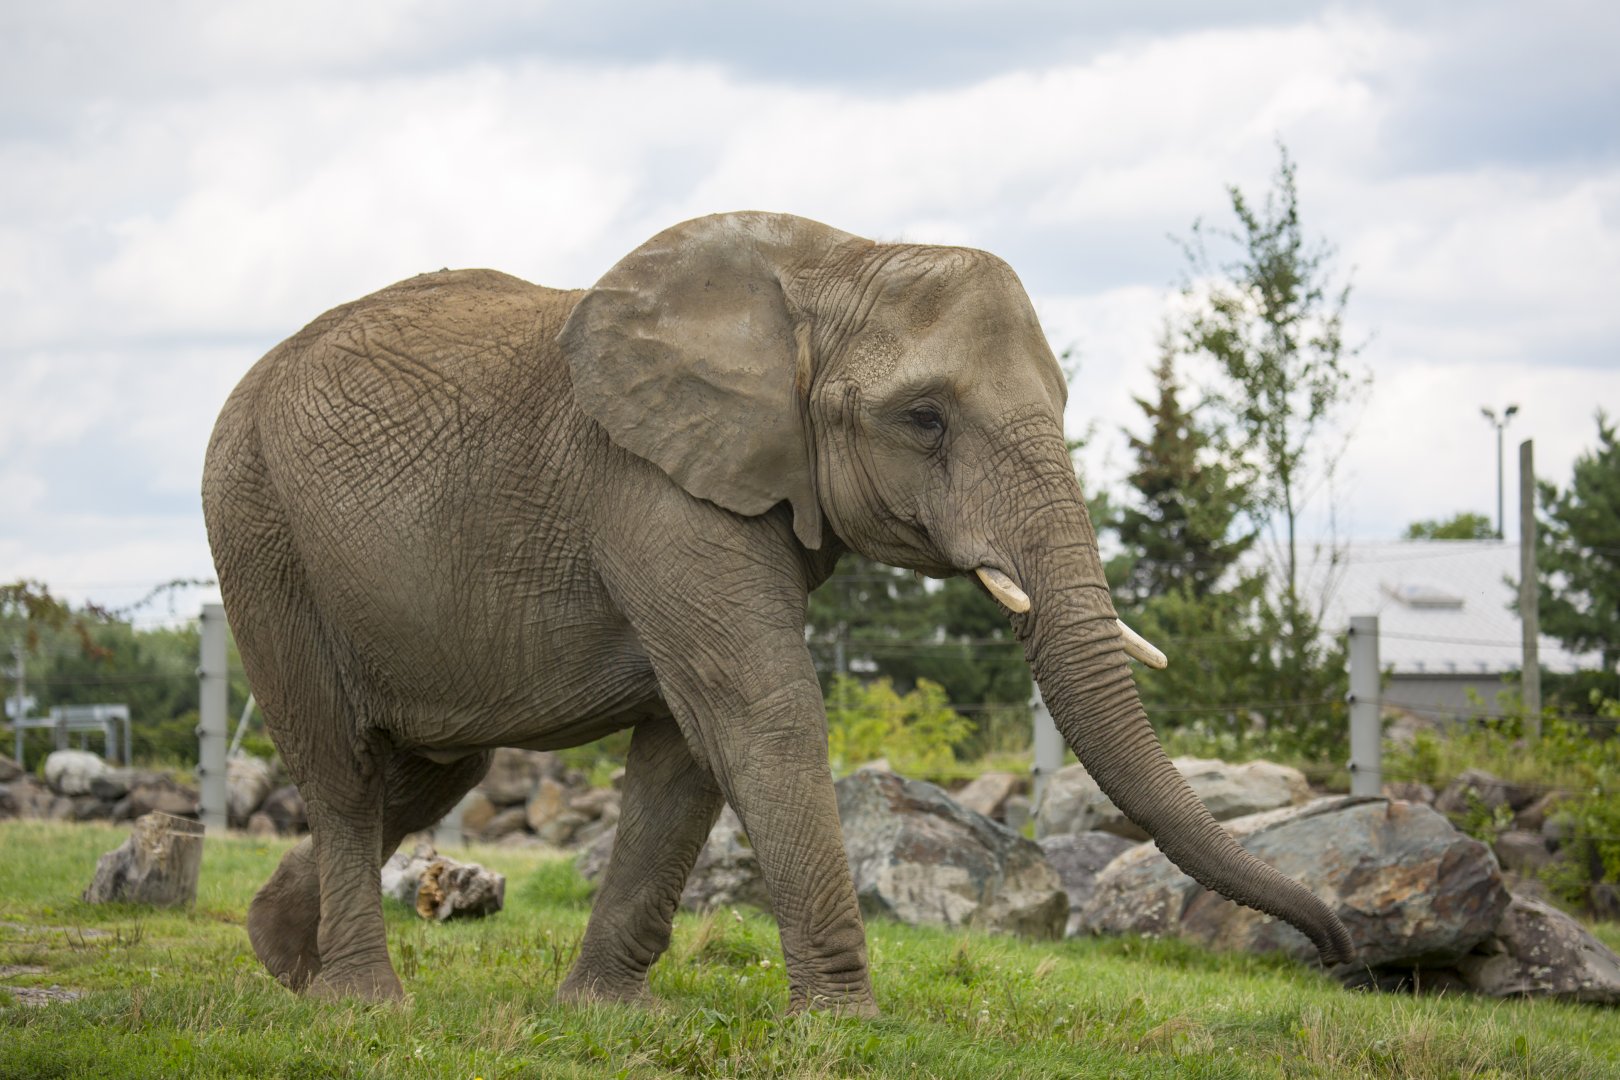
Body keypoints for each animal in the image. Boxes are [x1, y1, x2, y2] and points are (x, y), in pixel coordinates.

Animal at [202, 211, 1352, 1011]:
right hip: (257, 531)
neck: (839, 262)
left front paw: (604, 1016)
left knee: (433, 768)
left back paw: (281, 959)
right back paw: (362, 1003)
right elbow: (760, 710)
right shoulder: (653, 484)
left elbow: (685, 750)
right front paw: (844, 1023)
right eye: (924, 420)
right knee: (344, 769)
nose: (1339, 951)